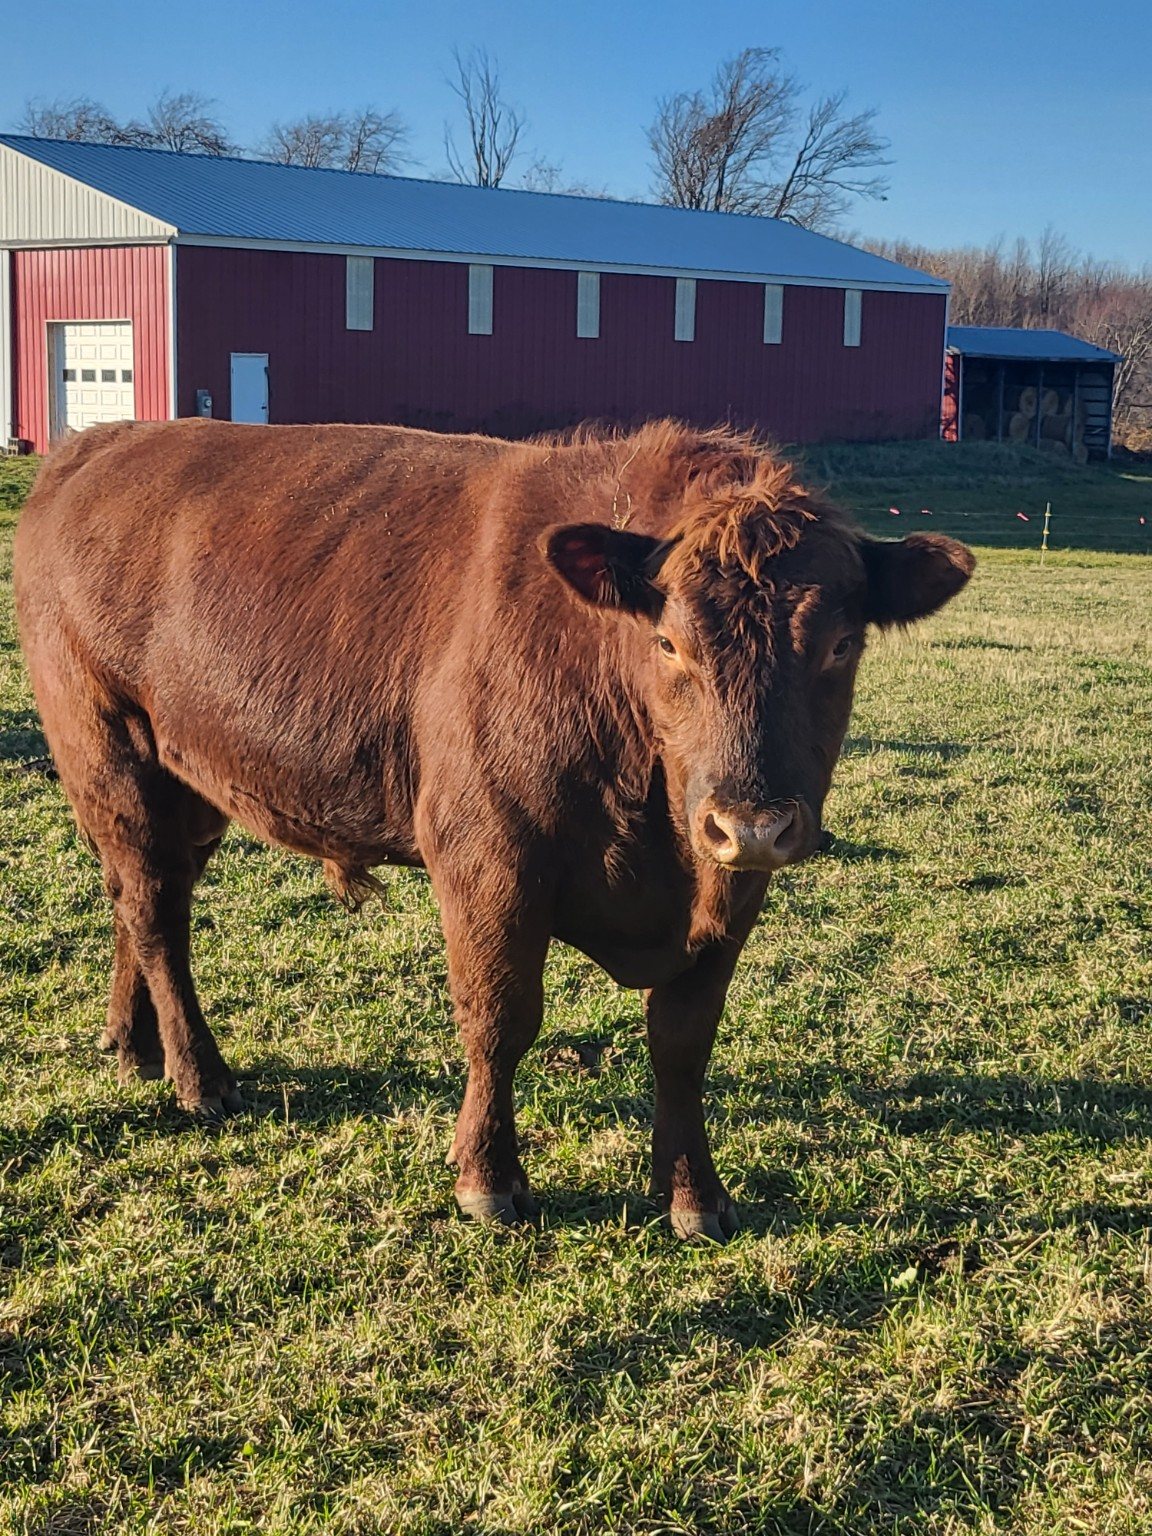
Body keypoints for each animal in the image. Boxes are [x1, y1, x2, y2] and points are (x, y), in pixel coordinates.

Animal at [14, 418, 973, 1240]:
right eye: (668, 644)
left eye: (841, 645)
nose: (752, 821)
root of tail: (101, 443)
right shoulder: (489, 860)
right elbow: (500, 1017)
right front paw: (488, 1179)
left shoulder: (731, 890)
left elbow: (682, 1042)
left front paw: (695, 1196)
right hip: (109, 751)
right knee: (154, 912)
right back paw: (198, 1076)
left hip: (188, 783)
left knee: (140, 898)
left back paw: (132, 1044)